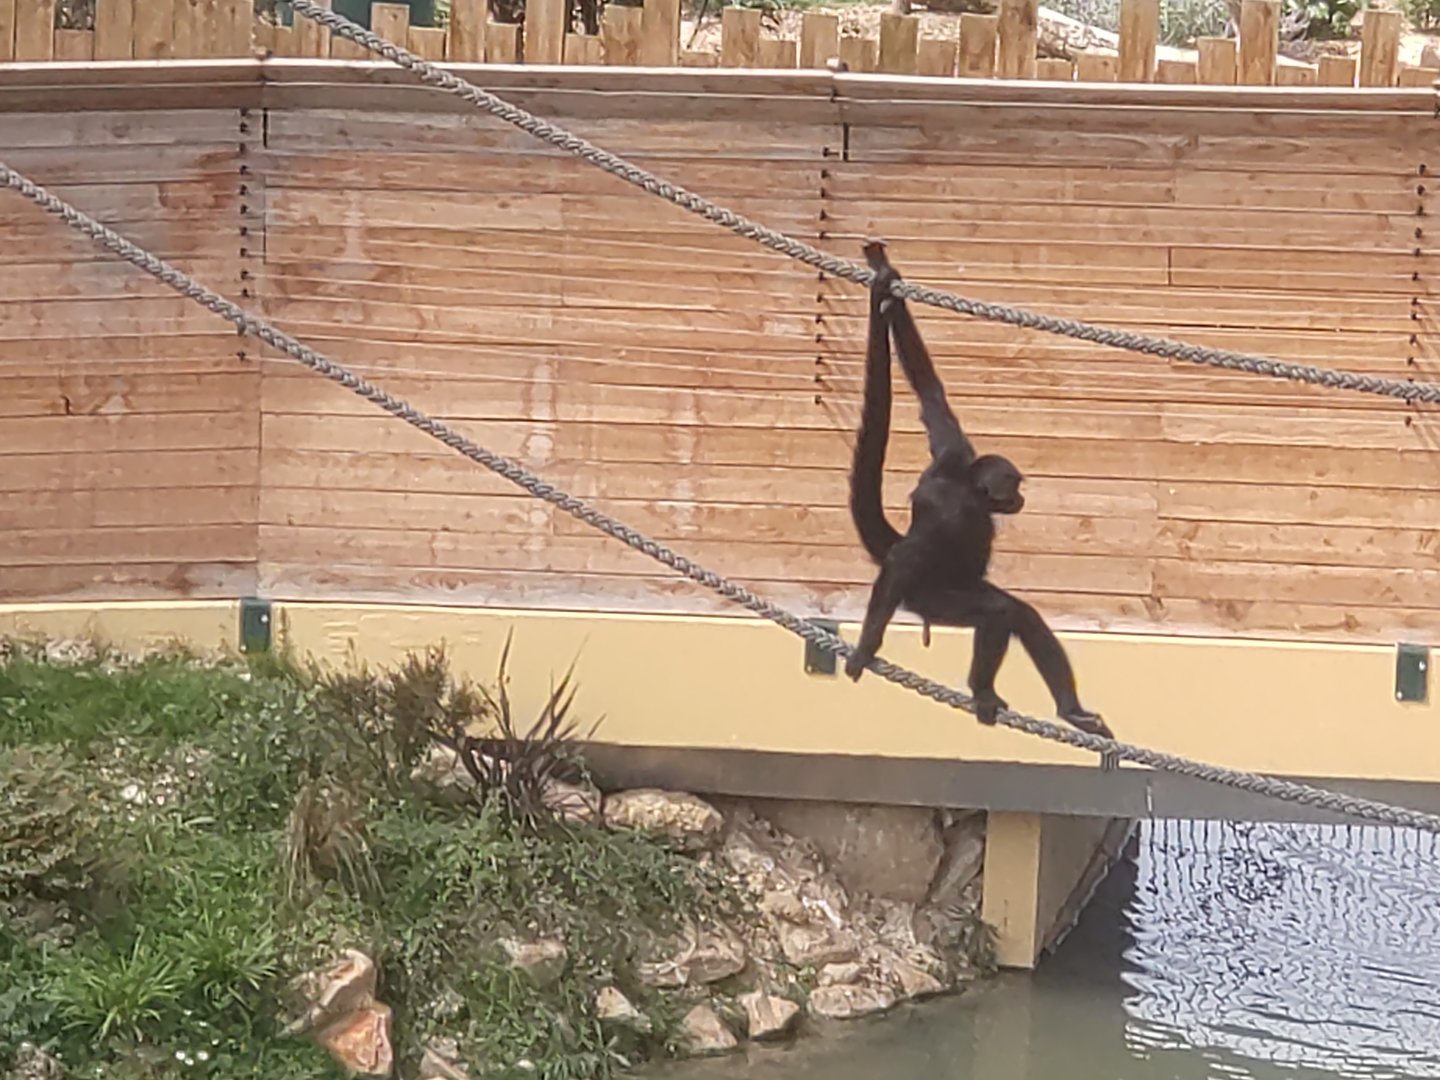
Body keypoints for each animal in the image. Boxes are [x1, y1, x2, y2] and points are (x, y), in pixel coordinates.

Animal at [844, 240, 1112, 741]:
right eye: (1014, 488)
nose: (1022, 499)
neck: (964, 484)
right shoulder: (950, 513)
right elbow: (905, 558)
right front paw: (867, 646)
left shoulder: (953, 450)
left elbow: (930, 393)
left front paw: (887, 280)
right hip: (931, 597)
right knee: (996, 610)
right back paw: (982, 691)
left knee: (1020, 612)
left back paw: (1071, 711)